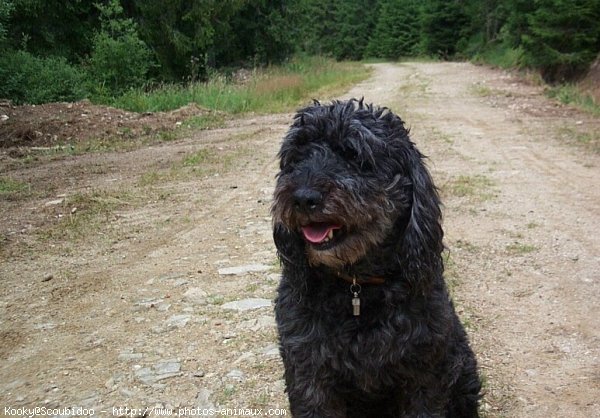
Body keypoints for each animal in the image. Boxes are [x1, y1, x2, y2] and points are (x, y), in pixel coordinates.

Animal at [272, 99, 482, 416]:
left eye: (355, 156)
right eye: (296, 158)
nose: (303, 197)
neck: (357, 286)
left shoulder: (425, 373)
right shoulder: (308, 371)